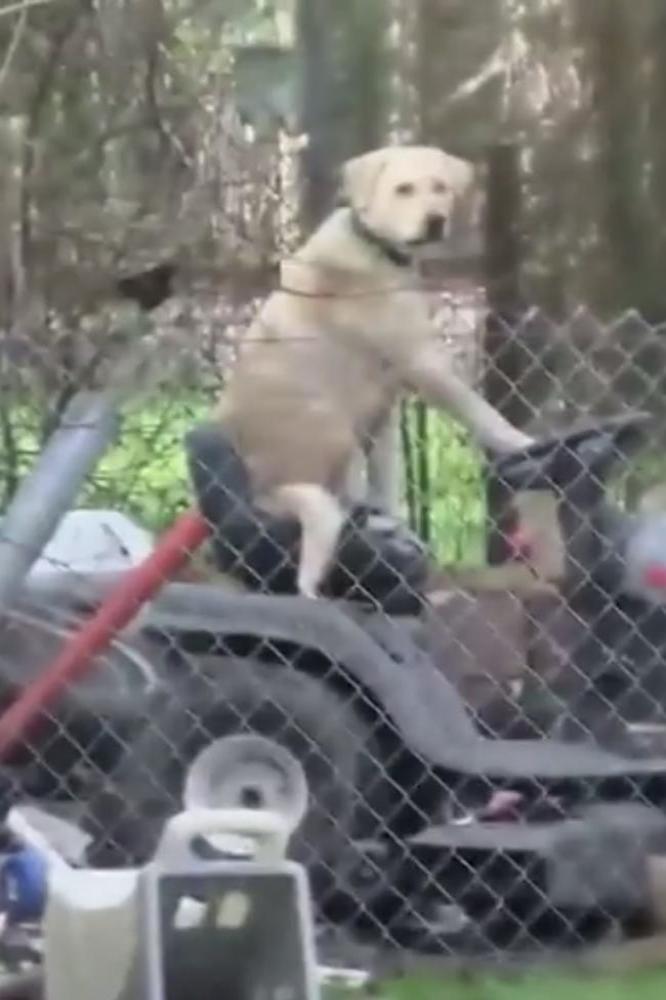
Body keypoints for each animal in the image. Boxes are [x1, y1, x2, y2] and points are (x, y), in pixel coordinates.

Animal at [214, 146, 536, 596]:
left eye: (440, 187)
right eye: (403, 189)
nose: (435, 220)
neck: (375, 249)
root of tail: (264, 491)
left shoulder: (385, 405)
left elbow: (386, 482)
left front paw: (393, 523)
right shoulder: (424, 364)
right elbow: (484, 414)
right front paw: (522, 442)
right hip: (331, 422)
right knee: (336, 501)